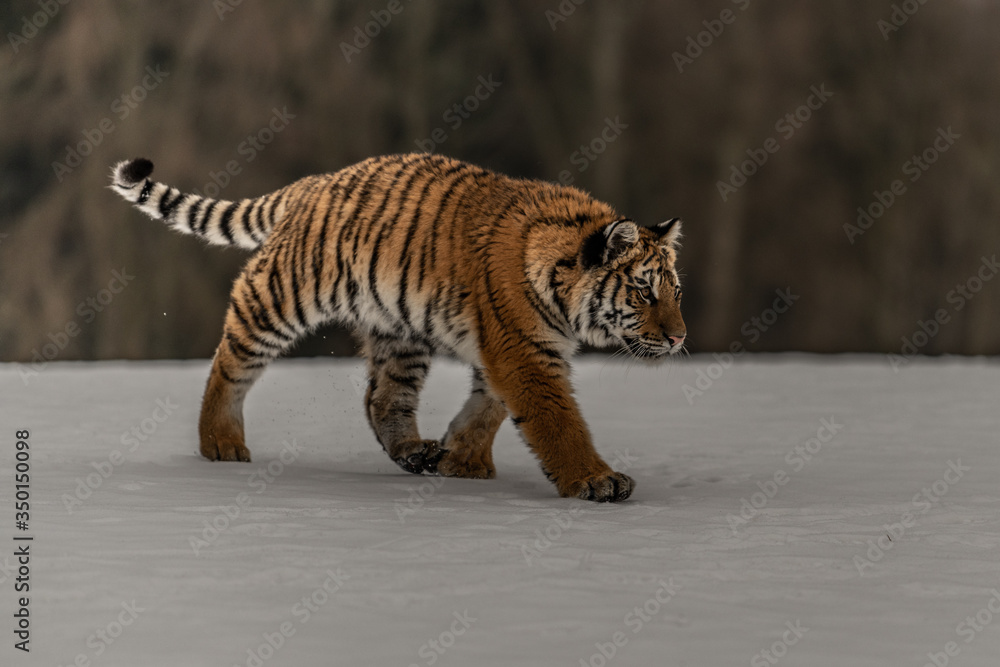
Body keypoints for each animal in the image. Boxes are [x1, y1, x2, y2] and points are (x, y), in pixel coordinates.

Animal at [109, 153, 686, 502]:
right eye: (643, 291)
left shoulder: (515, 352)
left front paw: (462, 460)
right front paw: (596, 480)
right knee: (230, 356)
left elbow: (486, 408)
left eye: (675, 292)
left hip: (399, 330)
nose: (680, 337)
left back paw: (415, 452)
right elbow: (559, 423)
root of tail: (316, 181)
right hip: (282, 293)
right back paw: (220, 442)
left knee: (381, 398)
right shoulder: (524, 353)